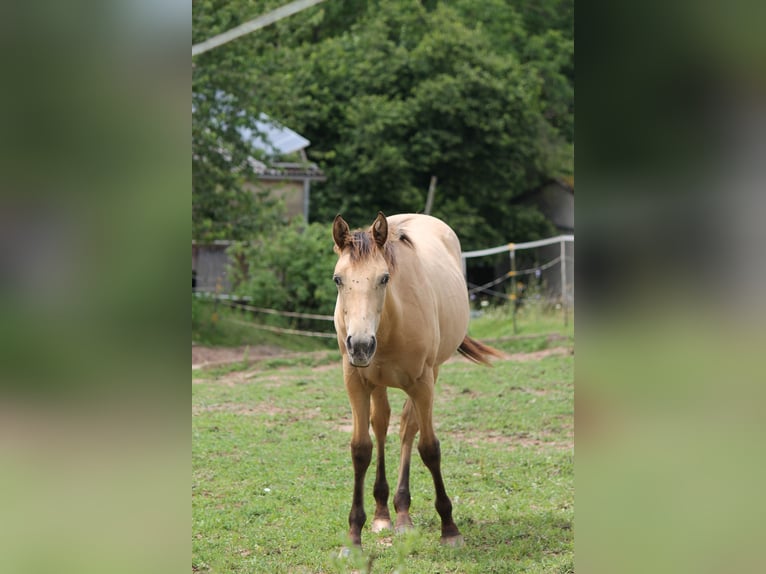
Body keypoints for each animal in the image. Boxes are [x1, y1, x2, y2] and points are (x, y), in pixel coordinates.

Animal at [332, 212, 500, 548]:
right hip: (378, 383)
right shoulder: (355, 381)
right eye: (337, 279)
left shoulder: (422, 382)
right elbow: (361, 449)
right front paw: (354, 536)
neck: (389, 324)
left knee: (408, 428)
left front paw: (450, 529)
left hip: (430, 374)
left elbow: (430, 448)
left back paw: (402, 515)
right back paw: (383, 513)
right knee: (382, 424)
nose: (360, 345)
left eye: (384, 278)